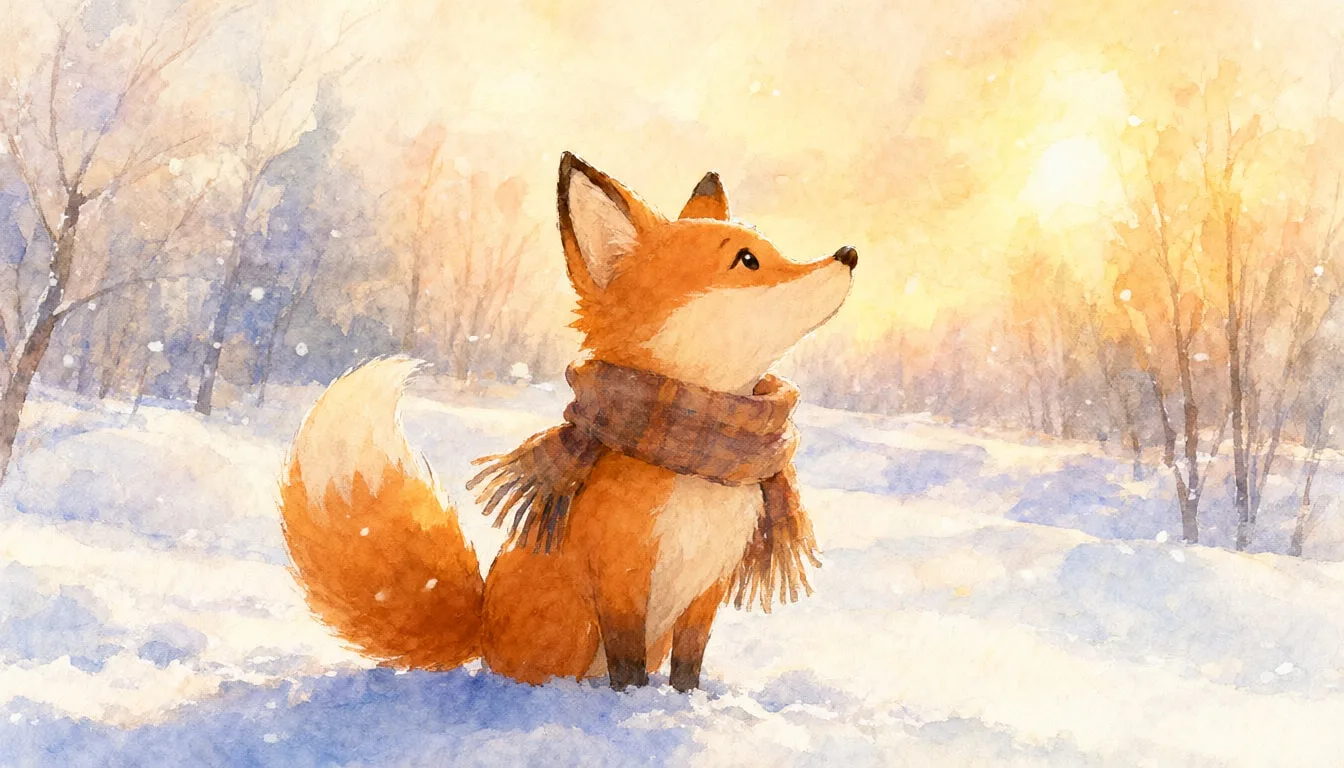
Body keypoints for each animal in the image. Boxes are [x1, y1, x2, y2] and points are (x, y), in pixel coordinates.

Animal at [280, 152, 857, 691]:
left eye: (771, 248)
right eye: (747, 260)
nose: (848, 254)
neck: (692, 453)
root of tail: (482, 630)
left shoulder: (705, 589)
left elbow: (687, 668)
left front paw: (685, 705)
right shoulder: (621, 580)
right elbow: (628, 668)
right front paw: (632, 712)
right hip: (574, 627)